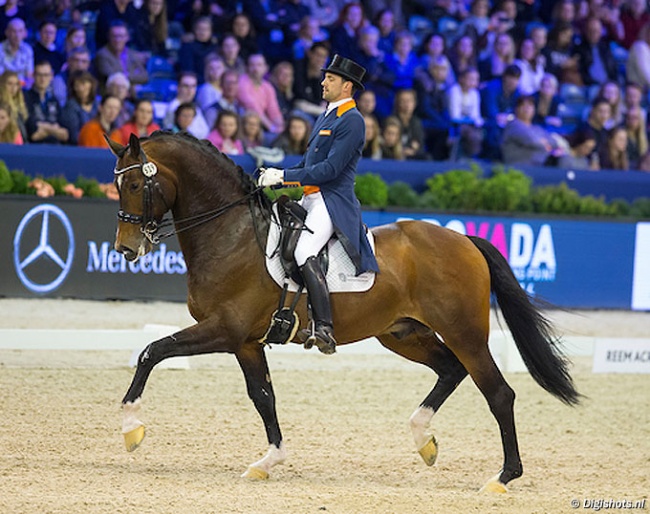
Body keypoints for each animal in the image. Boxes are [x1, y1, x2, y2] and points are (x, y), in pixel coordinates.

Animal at [106, 130, 576, 490]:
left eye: (135, 186)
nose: (126, 250)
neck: (232, 234)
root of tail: (464, 240)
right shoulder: (246, 342)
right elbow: (263, 397)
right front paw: (268, 461)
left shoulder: (223, 329)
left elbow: (151, 351)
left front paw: (131, 430)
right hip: (403, 333)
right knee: (450, 370)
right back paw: (423, 440)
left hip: (465, 333)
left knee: (498, 393)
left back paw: (503, 477)